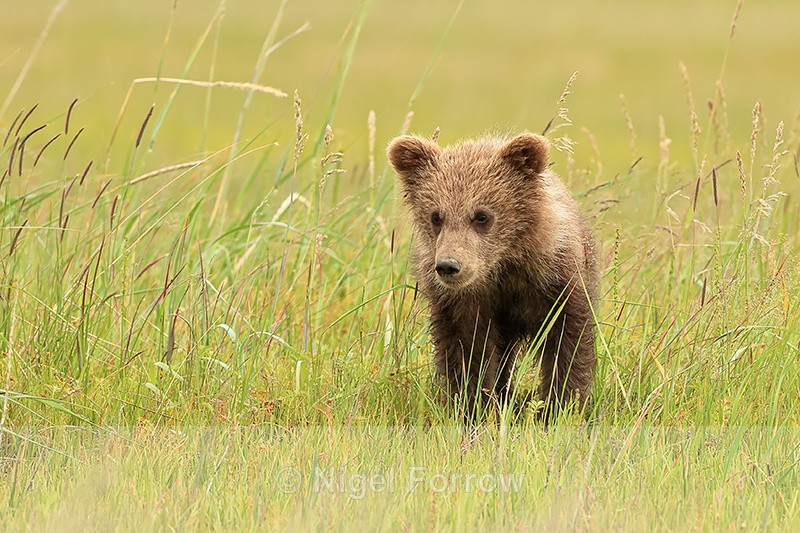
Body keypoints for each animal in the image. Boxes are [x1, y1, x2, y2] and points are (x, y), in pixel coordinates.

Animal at [388, 132, 597, 421]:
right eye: (436, 216)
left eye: (481, 215)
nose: (449, 265)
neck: (501, 266)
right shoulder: (465, 302)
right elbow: (467, 350)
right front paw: (472, 405)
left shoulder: (555, 283)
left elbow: (567, 342)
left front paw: (560, 406)